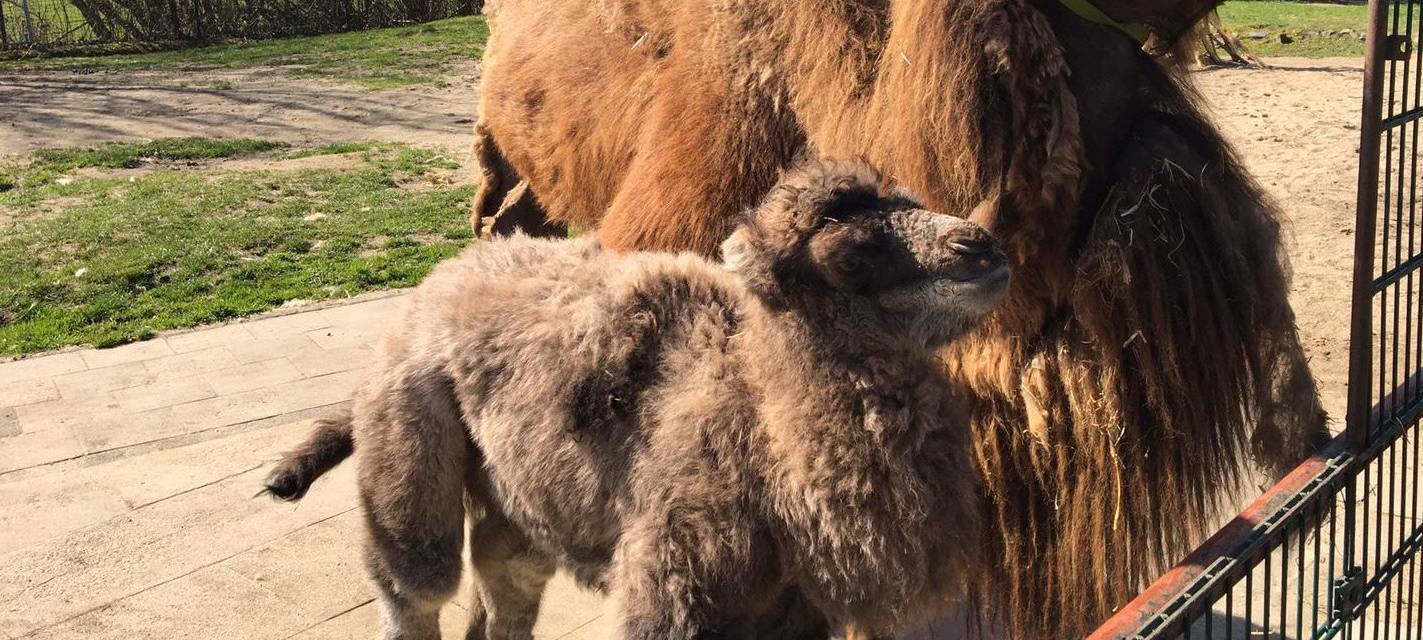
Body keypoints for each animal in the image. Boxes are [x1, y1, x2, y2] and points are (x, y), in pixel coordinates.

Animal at [266, 161, 1009, 639]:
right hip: (408, 436)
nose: (982, 248)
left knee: (504, 588)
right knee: (416, 583)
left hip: (520, 496)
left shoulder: (791, 614)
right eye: (841, 237)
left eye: (911, 200)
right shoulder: (674, 589)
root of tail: (425, 295)